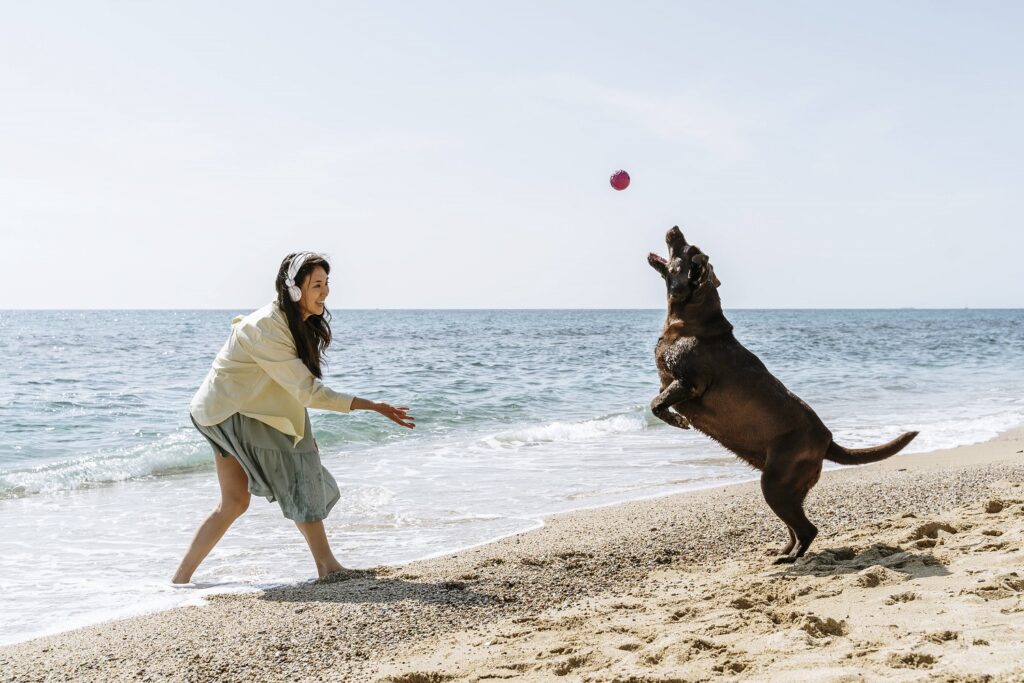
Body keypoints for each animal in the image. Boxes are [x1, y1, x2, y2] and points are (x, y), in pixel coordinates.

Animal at [647, 227, 921, 565]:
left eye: (685, 249)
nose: (674, 229)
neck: (692, 317)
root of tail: (828, 440)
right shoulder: (671, 382)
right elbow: (657, 398)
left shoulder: (689, 382)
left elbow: (657, 403)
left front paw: (675, 419)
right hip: (783, 486)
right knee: (795, 528)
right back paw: (784, 551)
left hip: (776, 483)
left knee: (807, 529)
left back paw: (790, 559)